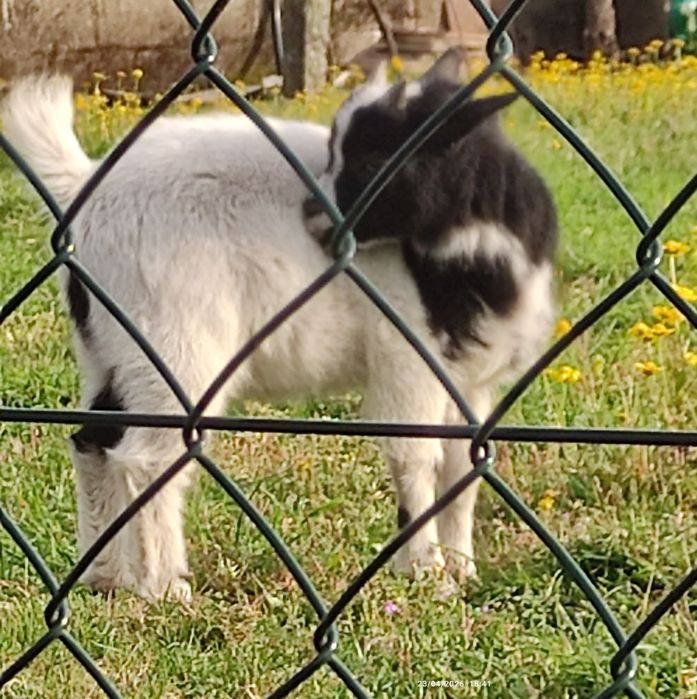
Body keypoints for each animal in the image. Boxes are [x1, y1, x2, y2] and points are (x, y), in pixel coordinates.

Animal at [1, 50, 555, 601]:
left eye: (374, 160)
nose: (313, 217)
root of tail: (84, 189)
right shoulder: (406, 357)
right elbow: (416, 459)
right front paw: (425, 571)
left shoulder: (471, 380)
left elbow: (463, 470)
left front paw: (462, 569)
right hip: (172, 343)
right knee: (145, 457)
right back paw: (166, 587)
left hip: (108, 349)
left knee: (92, 440)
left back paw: (105, 576)